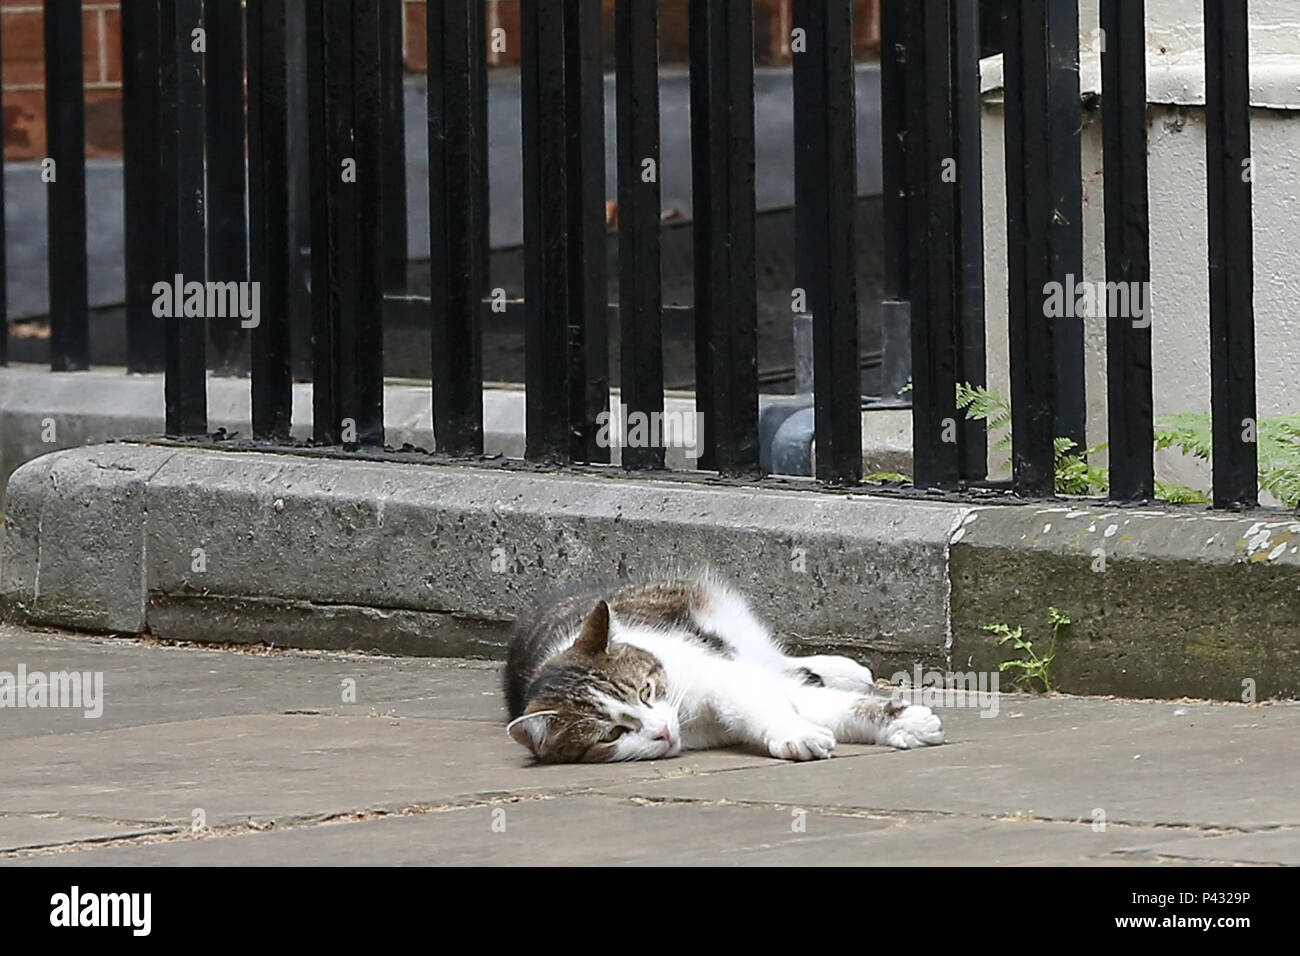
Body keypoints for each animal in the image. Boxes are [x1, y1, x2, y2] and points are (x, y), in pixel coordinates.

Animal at [501, 572, 941, 764]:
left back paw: (844, 670)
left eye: (645, 691)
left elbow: (783, 698)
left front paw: (904, 721)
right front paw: (797, 732)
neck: (685, 716)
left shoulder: (721, 672)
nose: (662, 732)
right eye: (611, 734)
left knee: (774, 660)